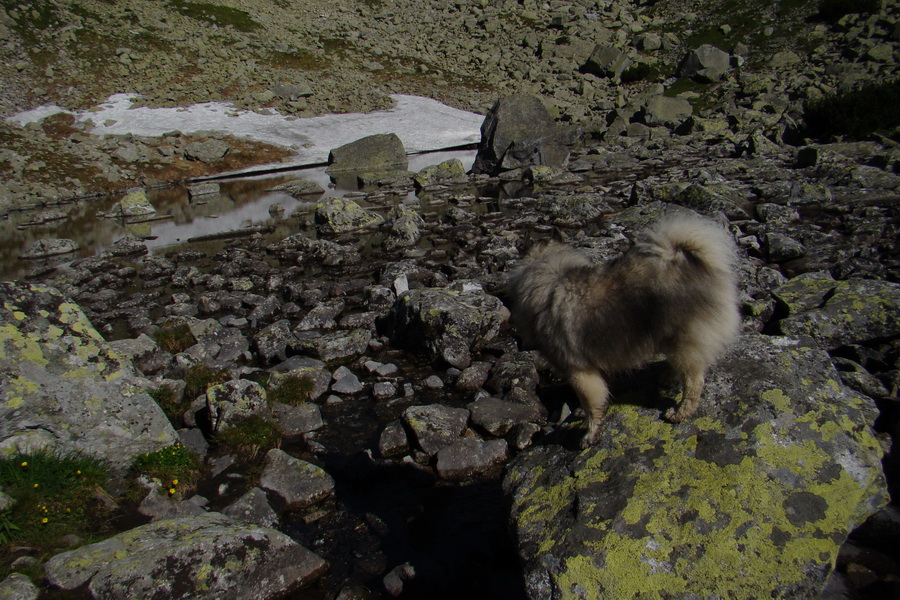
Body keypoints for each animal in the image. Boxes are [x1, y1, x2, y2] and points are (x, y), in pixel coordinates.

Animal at [506, 213, 740, 448]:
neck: (546, 267)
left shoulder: (578, 371)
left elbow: (591, 403)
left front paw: (589, 435)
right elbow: (601, 393)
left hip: (684, 340)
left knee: (694, 382)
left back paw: (680, 412)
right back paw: (667, 377)